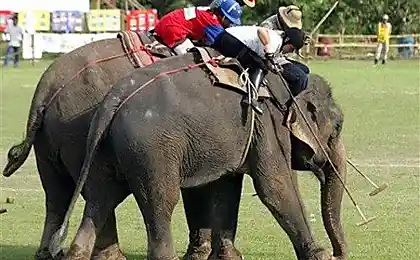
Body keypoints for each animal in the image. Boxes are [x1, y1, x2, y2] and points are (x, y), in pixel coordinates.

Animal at [55, 49, 352, 260]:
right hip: (152, 150)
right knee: (160, 201)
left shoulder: (247, 133)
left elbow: (227, 188)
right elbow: (276, 188)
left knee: (100, 198)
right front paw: (320, 255)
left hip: (104, 148)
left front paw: (230, 257)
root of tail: (114, 98)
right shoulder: (268, 124)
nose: (340, 254)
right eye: (337, 127)